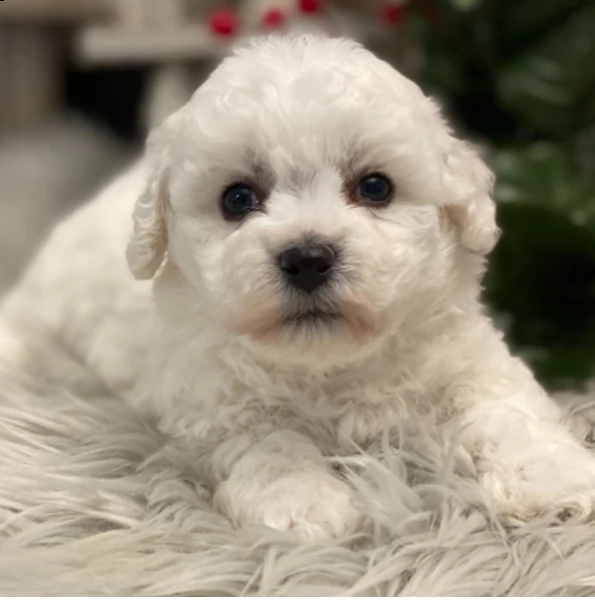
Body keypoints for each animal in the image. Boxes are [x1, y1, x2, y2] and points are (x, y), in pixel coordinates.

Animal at [3, 35, 595, 540]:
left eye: (375, 187)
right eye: (237, 199)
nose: (307, 257)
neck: (331, 363)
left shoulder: (472, 366)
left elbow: (510, 415)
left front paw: (553, 483)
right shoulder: (216, 406)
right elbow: (269, 443)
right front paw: (301, 506)